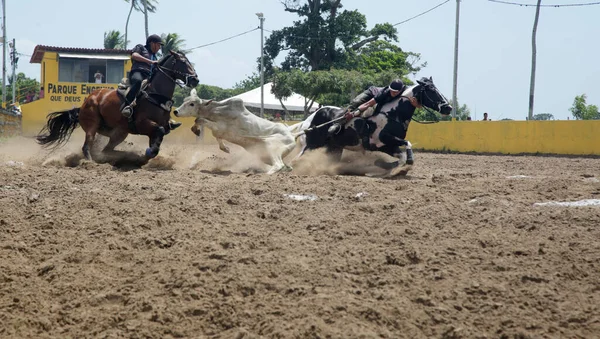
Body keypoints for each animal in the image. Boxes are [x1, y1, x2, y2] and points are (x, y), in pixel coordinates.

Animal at [35, 50, 199, 161]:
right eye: (183, 62)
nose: (195, 80)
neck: (155, 93)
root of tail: (84, 104)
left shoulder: (158, 127)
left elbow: (158, 138)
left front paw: (148, 154)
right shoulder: (143, 124)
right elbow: (158, 133)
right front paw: (147, 153)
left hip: (118, 132)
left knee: (106, 149)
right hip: (92, 126)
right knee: (87, 146)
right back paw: (90, 162)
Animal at [290, 77, 450, 178]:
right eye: (431, 90)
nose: (448, 108)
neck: (393, 113)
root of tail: (308, 120)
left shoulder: (386, 146)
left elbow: (401, 157)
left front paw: (391, 167)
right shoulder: (384, 139)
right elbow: (407, 145)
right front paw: (406, 162)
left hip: (334, 148)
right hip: (311, 144)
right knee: (296, 160)